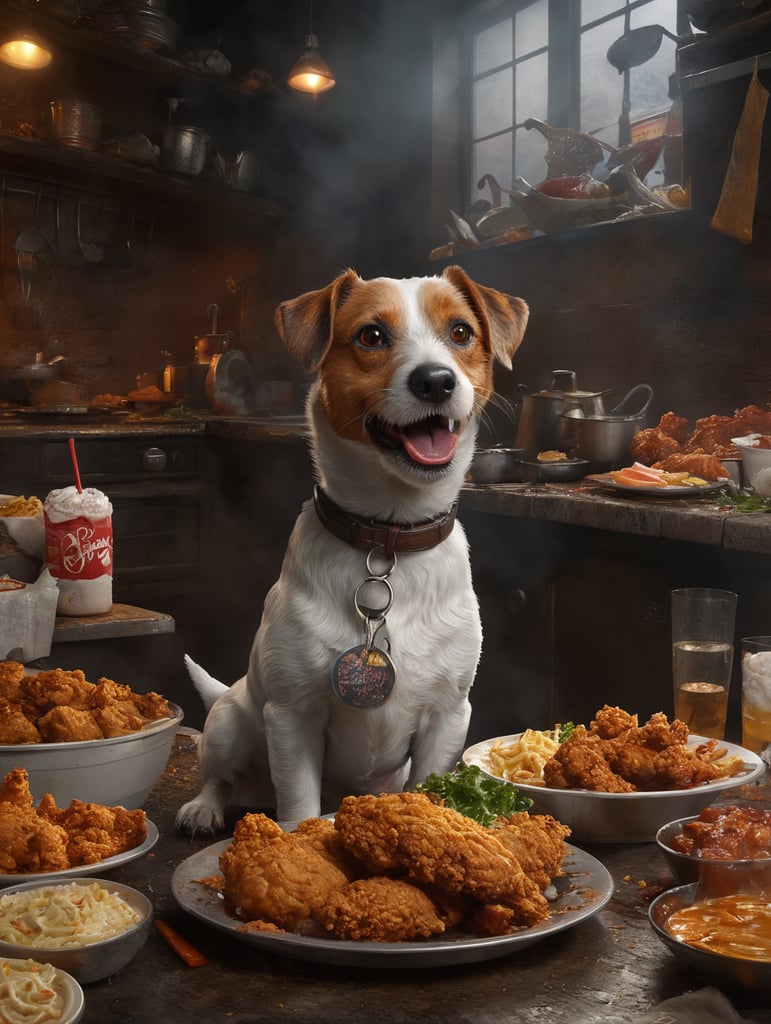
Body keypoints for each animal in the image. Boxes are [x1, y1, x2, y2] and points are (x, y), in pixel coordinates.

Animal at [177, 266, 528, 831]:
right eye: (372, 336)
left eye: (460, 332)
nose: (436, 380)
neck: (389, 538)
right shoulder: (293, 716)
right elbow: (299, 804)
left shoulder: (448, 718)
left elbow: (429, 786)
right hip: (231, 725)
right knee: (219, 775)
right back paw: (203, 808)